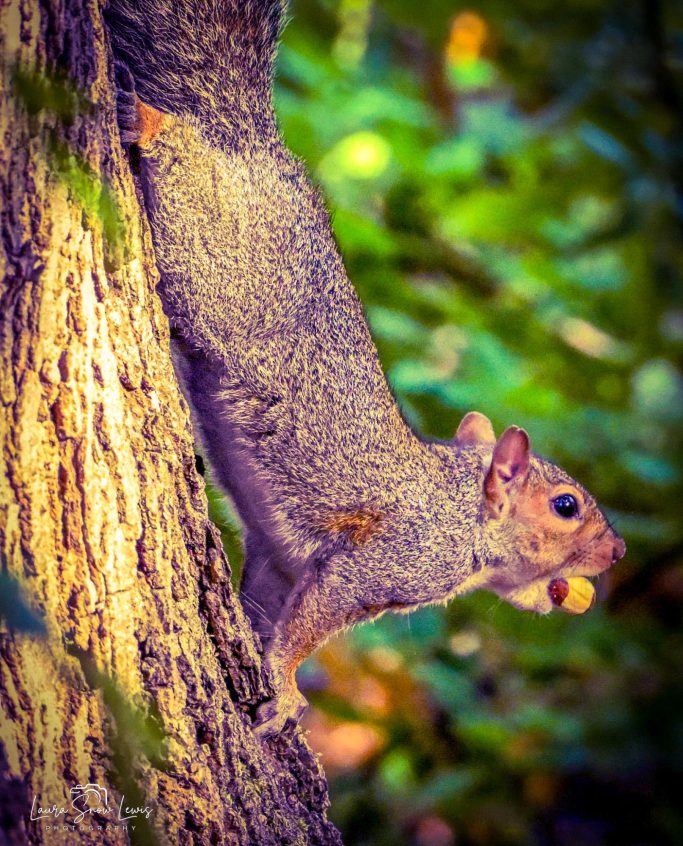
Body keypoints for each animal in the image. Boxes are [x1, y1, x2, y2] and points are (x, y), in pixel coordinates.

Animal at [106, 0, 626, 737]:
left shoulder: (280, 562)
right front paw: (287, 689)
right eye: (565, 507)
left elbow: (267, 608)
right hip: (209, 255)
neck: (460, 511)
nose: (617, 554)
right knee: (179, 146)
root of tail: (250, 145)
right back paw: (151, 121)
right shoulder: (381, 560)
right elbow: (305, 629)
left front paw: (258, 658)